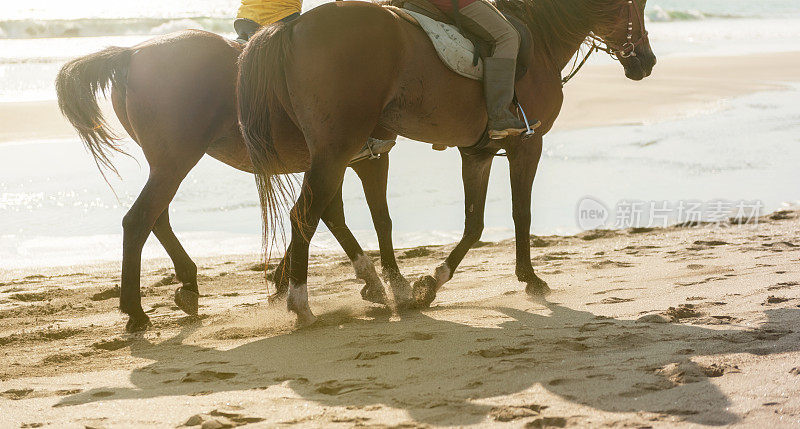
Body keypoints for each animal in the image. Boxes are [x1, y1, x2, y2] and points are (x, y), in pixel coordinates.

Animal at [54, 30, 412, 332]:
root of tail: (133, 53)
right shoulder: (361, 159)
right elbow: (377, 218)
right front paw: (393, 283)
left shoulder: (330, 162)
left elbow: (324, 216)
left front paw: (285, 281)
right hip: (175, 162)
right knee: (139, 219)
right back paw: (137, 312)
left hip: (166, 165)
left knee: (157, 217)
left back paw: (187, 284)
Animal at [239, 0, 656, 322]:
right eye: (638, 4)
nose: (647, 62)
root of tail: (293, 27)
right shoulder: (527, 145)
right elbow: (521, 213)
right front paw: (530, 279)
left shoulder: (477, 153)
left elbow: (474, 224)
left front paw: (430, 284)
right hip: (336, 151)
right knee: (305, 215)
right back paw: (302, 302)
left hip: (331, 154)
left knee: (323, 213)